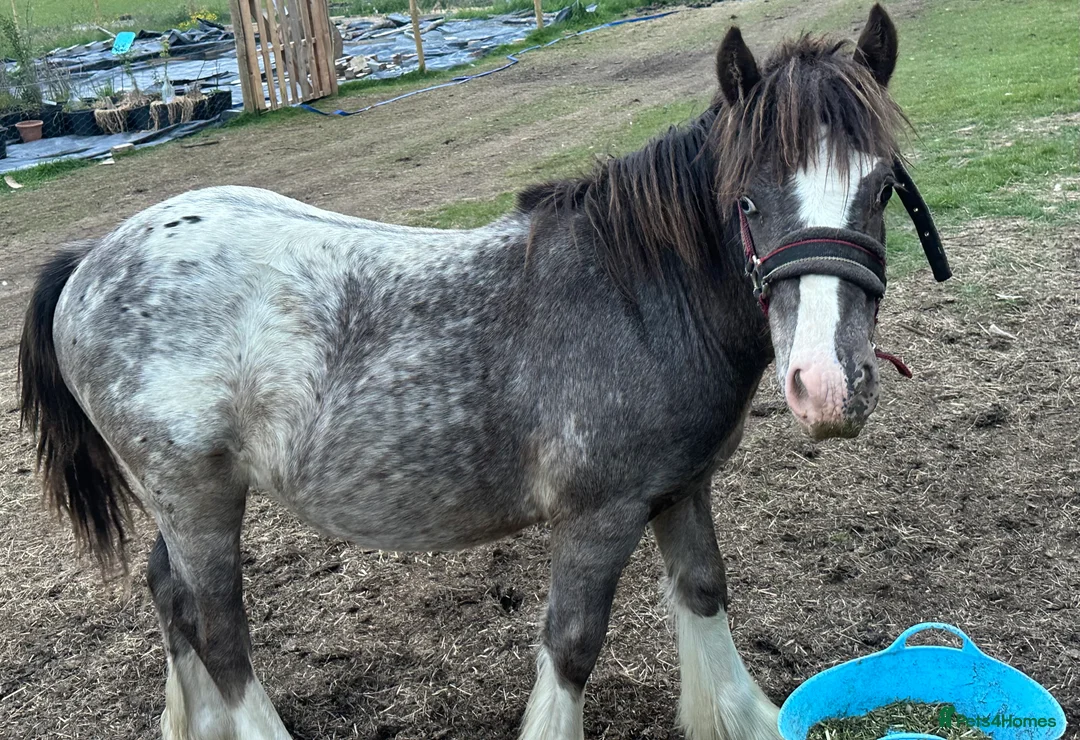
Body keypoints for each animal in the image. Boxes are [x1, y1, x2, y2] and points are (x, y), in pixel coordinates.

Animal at [18, 5, 948, 739]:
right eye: (746, 200)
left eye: (880, 189)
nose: (828, 388)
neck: (638, 295)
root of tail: (92, 260)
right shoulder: (599, 516)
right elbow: (572, 647)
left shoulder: (681, 488)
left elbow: (704, 592)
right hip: (197, 497)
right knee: (219, 632)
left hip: (185, 502)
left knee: (170, 597)